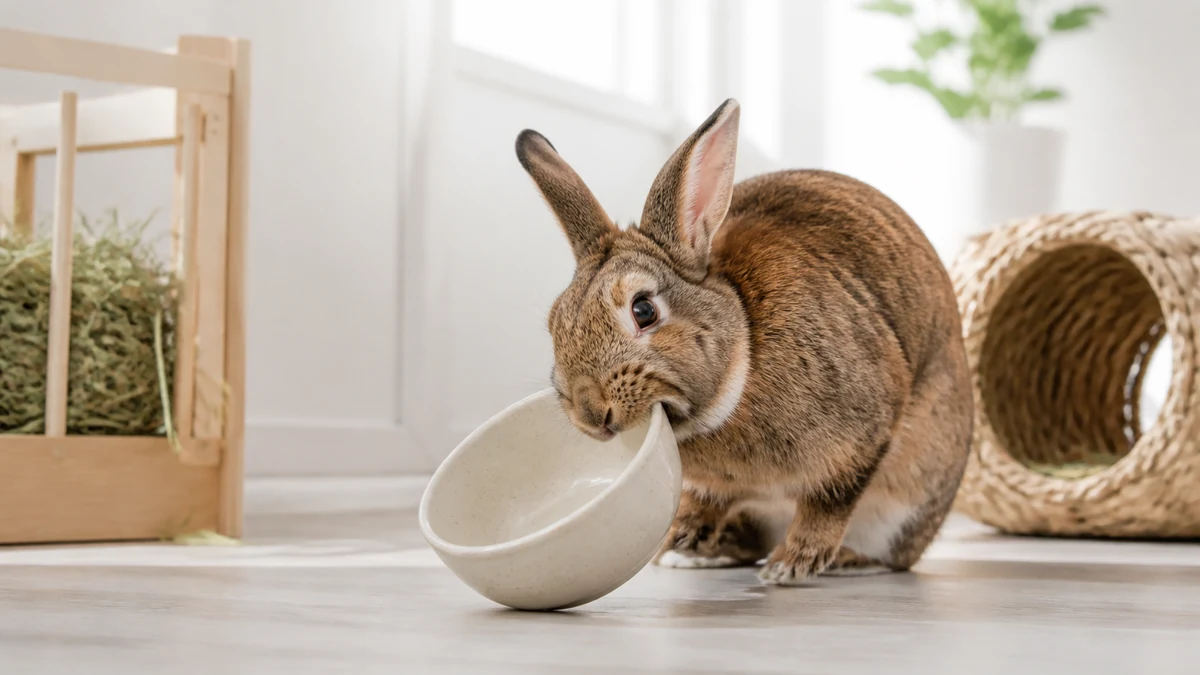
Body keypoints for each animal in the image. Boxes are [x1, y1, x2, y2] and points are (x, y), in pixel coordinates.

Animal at [514, 98, 972, 584]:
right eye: (555, 322)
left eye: (643, 310)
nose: (589, 414)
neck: (743, 350)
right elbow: (712, 497)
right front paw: (679, 536)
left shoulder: (865, 432)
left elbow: (830, 499)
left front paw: (794, 563)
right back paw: (691, 551)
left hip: (907, 507)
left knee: (891, 555)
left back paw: (844, 559)